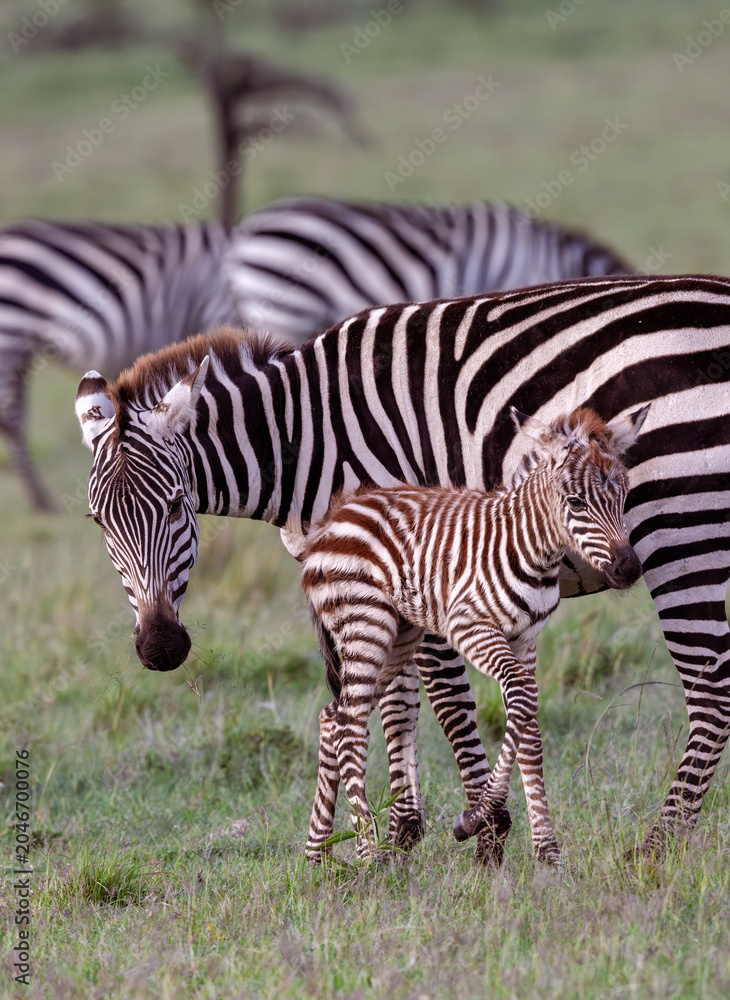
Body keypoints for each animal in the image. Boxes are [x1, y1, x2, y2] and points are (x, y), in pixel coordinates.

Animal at [301, 405, 648, 863]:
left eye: (624, 497)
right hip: (367, 625)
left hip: (398, 637)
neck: (532, 548)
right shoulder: (470, 628)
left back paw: (317, 855)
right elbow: (520, 697)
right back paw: (367, 853)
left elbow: (531, 733)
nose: (629, 570)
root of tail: (333, 518)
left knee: (333, 717)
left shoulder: (527, 640)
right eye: (575, 502)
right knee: (353, 728)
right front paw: (474, 819)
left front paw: (548, 853)